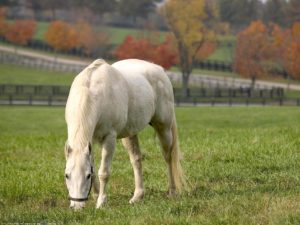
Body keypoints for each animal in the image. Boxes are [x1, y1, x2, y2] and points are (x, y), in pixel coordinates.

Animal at [64, 58, 185, 209]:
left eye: (86, 176)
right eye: (67, 175)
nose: (77, 206)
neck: (92, 91)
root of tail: (160, 70)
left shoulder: (109, 138)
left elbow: (103, 172)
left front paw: (101, 202)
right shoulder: (89, 141)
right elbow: (95, 168)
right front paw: (96, 196)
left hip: (164, 128)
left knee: (168, 157)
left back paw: (172, 191)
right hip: (130, 134)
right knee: (136, 159)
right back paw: (137, 196)